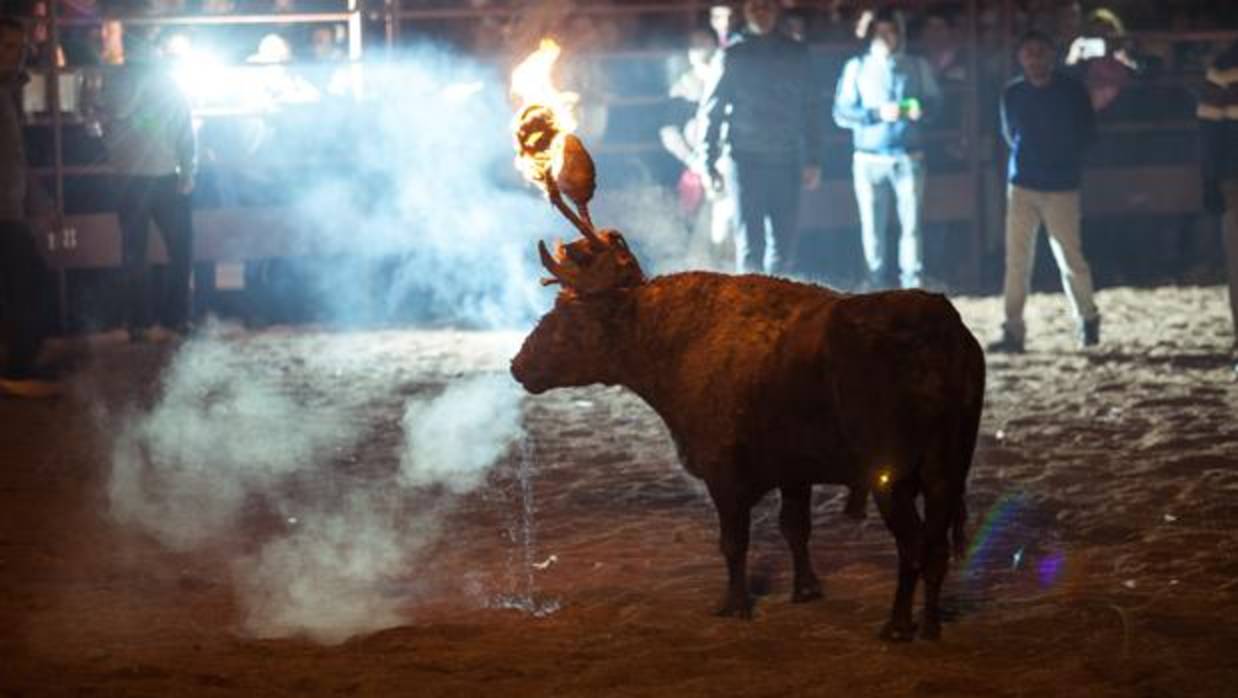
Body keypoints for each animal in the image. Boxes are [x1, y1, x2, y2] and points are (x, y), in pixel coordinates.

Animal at [507, 139, 980, 638]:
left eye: (568, 314)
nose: (519, 364)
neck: (669, 343)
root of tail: (946, 333)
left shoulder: (725, 473)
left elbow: (733, 543)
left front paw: (734, 603)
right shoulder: (795, 471)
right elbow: (795, 529)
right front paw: (805, 589)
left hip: (892, 476)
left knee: (913, 546)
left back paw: (897, 625)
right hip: (948, 470)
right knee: (937, 549)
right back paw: (930, 624)